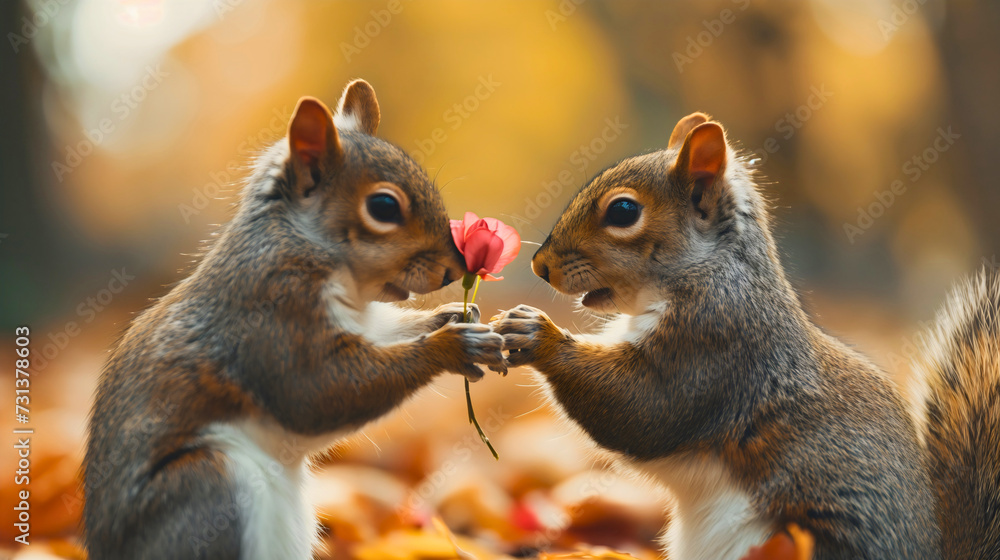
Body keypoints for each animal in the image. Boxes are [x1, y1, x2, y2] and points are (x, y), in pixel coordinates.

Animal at [82, 79, 506, 560]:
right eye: (383, 207)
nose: (456, 270)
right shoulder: (273, 312)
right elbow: (314, 392)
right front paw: (453, 345)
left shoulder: (364, 322)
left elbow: (388, 333)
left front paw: (456, 316)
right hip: (206, 489)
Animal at [493, 112, 999, 559]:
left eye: (623, 210)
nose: (540, 266)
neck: (706, 273)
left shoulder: (715, 346)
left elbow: (644, 406)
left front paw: (536, 333)